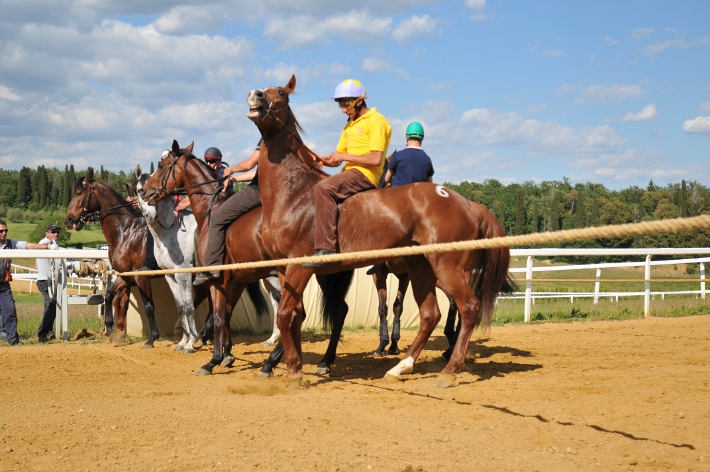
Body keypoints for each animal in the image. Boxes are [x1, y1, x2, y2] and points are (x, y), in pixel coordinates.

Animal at [64, 170, 161, 346]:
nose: (69, 220)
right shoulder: (126, 275)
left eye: (79, 193)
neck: (127, 232)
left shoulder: (141, 275)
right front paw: (109, 326)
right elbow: (109, 294)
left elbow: (149, 306)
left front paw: (152, 338)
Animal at [142, 140, 356, 376]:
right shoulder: (237, 280)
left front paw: (213, 360)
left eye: (162, 165)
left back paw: (283, 362)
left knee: (308, 313)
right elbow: (225, 314)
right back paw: (317, 361)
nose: (144, 191)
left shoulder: (217, 279)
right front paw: (227, 354)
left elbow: (217, 316)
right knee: (327, 312)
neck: (211, 211)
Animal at [248, 74, 516, 388]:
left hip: (447, 268)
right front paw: (293, 364)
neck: (294, 192)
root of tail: (468, 203)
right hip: (421, 268)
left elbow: (284, 314)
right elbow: (293, 316)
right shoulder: (283, 268)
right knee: (431, 314)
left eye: (281, 93)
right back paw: (401, 367)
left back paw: (450, 369)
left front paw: (291, 370)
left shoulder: (300, 266)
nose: (255, 95)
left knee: (469, 307)